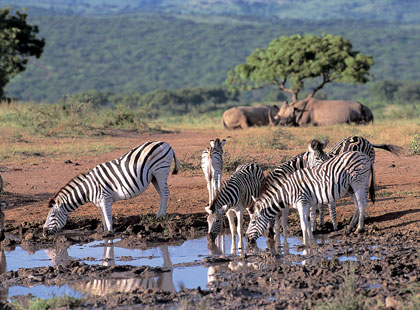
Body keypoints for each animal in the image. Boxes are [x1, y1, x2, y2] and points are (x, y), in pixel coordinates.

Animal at [42, 140, 179, 235]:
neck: (89, 189)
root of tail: (166, 143)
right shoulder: (101, 203)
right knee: (161, 194)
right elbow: (104, 220)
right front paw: (105, 233)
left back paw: (161, 216)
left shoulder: (105, 199)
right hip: (154, 177)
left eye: (52, 216)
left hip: (160, 171)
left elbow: (108, 220)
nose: (43, 232)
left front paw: (109, 235)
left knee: (165, 193)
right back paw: (159, 215)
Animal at [246, 152, 374, 247]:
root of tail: (364, 155)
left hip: (358, 182)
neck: (288, 192)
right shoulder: (306, 203)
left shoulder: (301, 202)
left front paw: (305, 244)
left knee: (362, 204)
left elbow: (303, 224)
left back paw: (359, 228)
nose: (247, 239)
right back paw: (350, 228)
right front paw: (312, 240)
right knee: (356, 205)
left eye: (253, 222)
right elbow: (307, 222)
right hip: (350, 187)